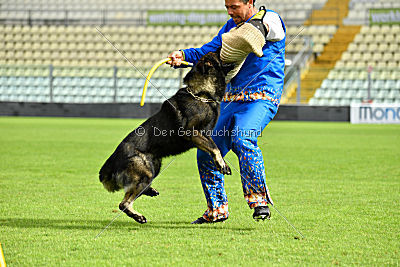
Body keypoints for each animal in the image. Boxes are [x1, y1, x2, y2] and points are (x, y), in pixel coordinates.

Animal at [99, 51, 234, 224]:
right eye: (218, 53)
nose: (222, 47)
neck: (200, 94)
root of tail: (114, 157)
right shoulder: (192, 132)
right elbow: (215, 148)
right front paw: (221, 163)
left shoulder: (205, 135)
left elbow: (214, 147)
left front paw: (222, 163)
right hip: (146, 172)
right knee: (124, 203)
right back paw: (138, 216)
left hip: (155, 165)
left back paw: (149, 191)